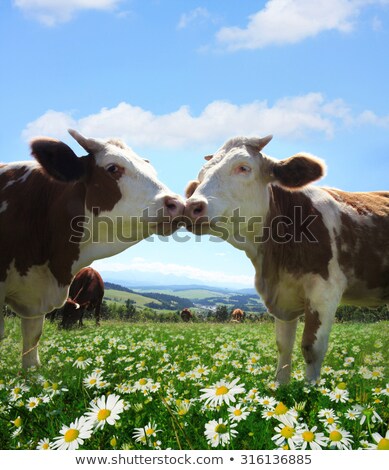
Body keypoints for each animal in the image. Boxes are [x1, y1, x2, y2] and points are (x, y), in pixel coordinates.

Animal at [184, 134, 388, 384]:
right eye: (201, 176)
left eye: (244, 167)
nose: (191, 206)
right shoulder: (282, 298)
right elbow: (283, 347)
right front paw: (280, 386)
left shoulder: (325, 291)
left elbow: (312, 348)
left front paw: (311, 390)